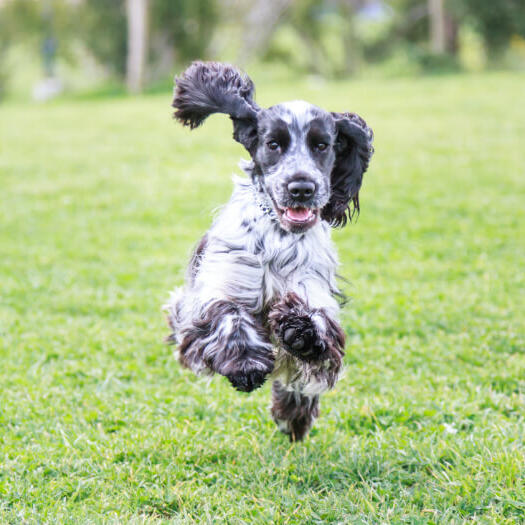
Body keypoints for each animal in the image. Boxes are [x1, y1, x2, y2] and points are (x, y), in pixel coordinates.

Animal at [164, 59, 372, 440]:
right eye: (274, 144)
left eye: (322, 145)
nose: (301, 187)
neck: (279, 234)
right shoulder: (224, 281)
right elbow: (227, 317)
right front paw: (246, 365)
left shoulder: (310, 283)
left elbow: (318, 326)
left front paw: (300, 330)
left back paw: (293, 417)